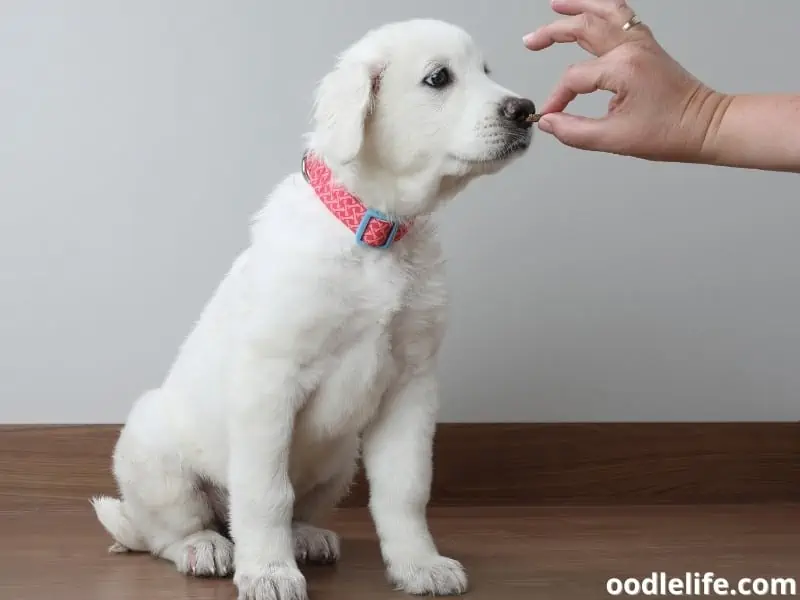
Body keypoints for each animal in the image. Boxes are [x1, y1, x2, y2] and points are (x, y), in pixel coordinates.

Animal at [90, 18, 536, 600]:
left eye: (486, 72)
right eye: (438, 78)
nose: (526, 110)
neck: (375, 232)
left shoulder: (411, 384)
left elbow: (404, 488)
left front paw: (419, 564)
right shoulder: (270, 380)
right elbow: (265, 493)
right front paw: (268, 572)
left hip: (339, 460)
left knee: (294, 508)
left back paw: (306, 538)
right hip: (153, 451)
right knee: (168, 531)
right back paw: (206, 547)